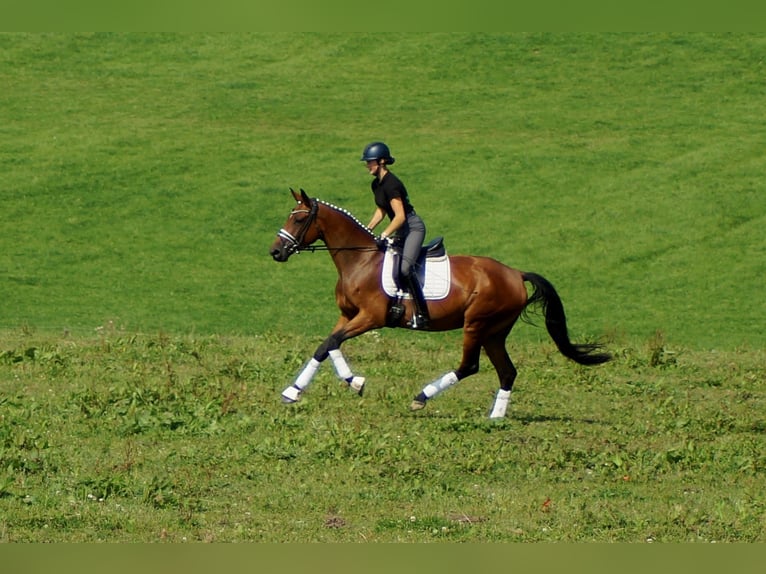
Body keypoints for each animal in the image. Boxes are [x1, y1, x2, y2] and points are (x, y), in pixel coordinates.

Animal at [270, 189, 612, 418]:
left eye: (299, 218)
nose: (275, 252)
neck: (360, 261)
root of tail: (516, 273)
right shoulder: (348, 315)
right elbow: (327, 346)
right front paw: (308, 389)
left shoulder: (370, 317)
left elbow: (330, 344)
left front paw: (342, 384)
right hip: (494, 332)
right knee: (507, 372)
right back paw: (495, 418)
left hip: (476, 324)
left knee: (470, 366)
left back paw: (422, 397)